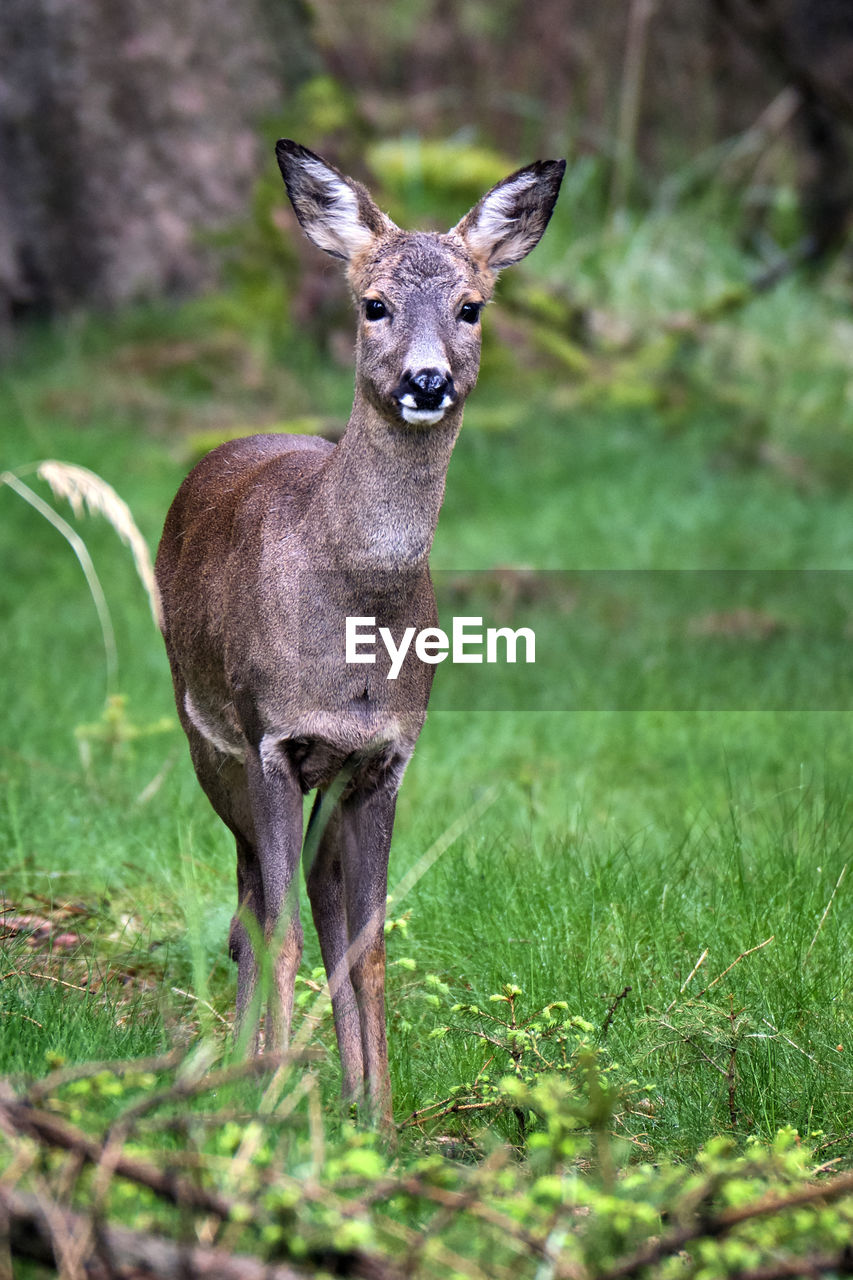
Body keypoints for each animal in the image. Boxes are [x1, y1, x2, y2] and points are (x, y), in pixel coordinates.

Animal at [155, 140, 565, 1128]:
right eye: (372, 303)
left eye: (471, 306)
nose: (426, 381)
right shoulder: (271, 738)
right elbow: (281, 935)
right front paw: (266, 1102)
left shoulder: (383, 757)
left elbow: (367, 940)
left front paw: (378, 1116)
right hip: (206, 739)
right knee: (250, 909)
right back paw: (244, 1075)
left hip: (324, 781)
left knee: (310, 893)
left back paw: (337, 1090)